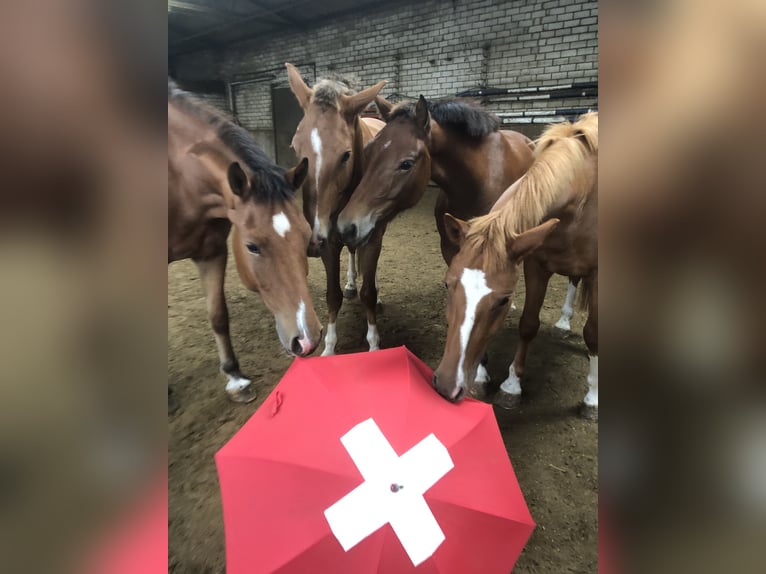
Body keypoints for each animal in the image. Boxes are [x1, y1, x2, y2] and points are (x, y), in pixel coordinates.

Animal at [168, 80, 324, 404]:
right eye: (251, 246)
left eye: (305, 237)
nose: (307, 340)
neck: (180, 176)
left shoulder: (211, 252)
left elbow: (218, 315)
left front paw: (235, 377)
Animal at [284, 63, 390, 356]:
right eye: (295, 148)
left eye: (345, 155)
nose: (312, 239)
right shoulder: (329, 243)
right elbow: (333, 295)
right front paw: (329, 348)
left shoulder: (372, 238)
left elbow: (368, 294)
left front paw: (374, 346)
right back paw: (352, 281)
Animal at [432, 113, 600, 418]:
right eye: (447, 284)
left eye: (503, 300)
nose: (447, 385)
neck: (580, 192)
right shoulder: (535, 265)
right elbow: (528, 324)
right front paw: (512, 386)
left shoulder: (596, 273)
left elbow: (592, 333)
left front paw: (592, 397)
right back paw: (563, 321)